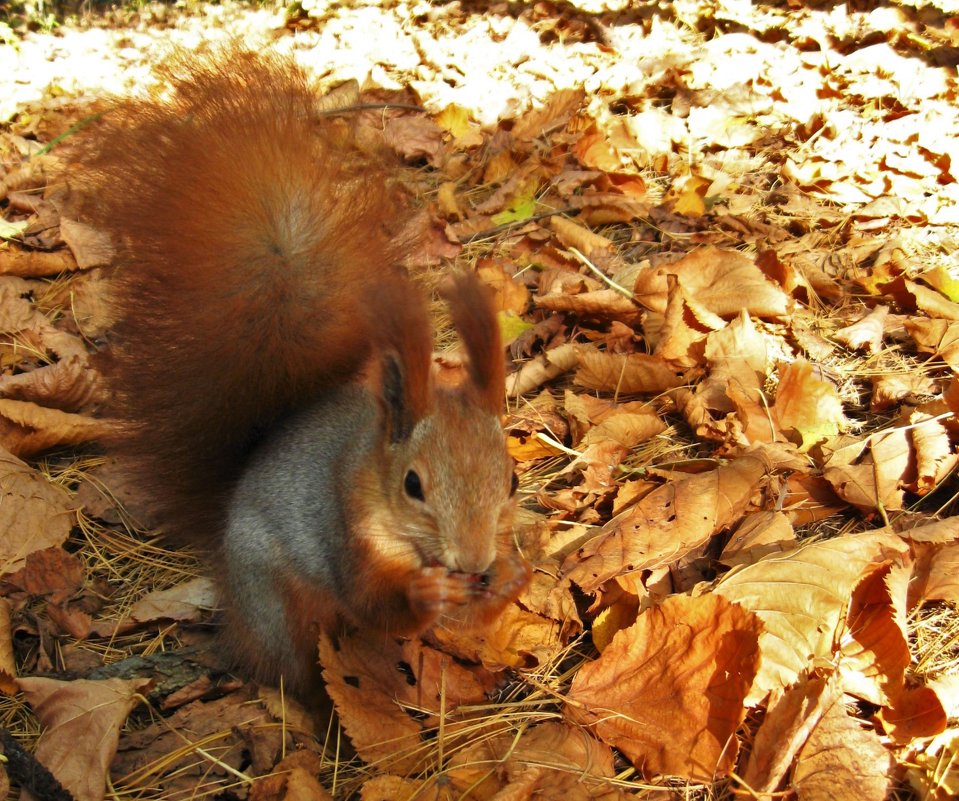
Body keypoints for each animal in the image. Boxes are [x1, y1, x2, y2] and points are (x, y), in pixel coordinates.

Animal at [79, 51, 532, 692]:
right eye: (412, 485)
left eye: (512, 480)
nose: (474, 561)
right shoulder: (348, 533)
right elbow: (374, 604)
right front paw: (425, 594)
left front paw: (514, 575)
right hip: (274, 602)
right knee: (291, 665)